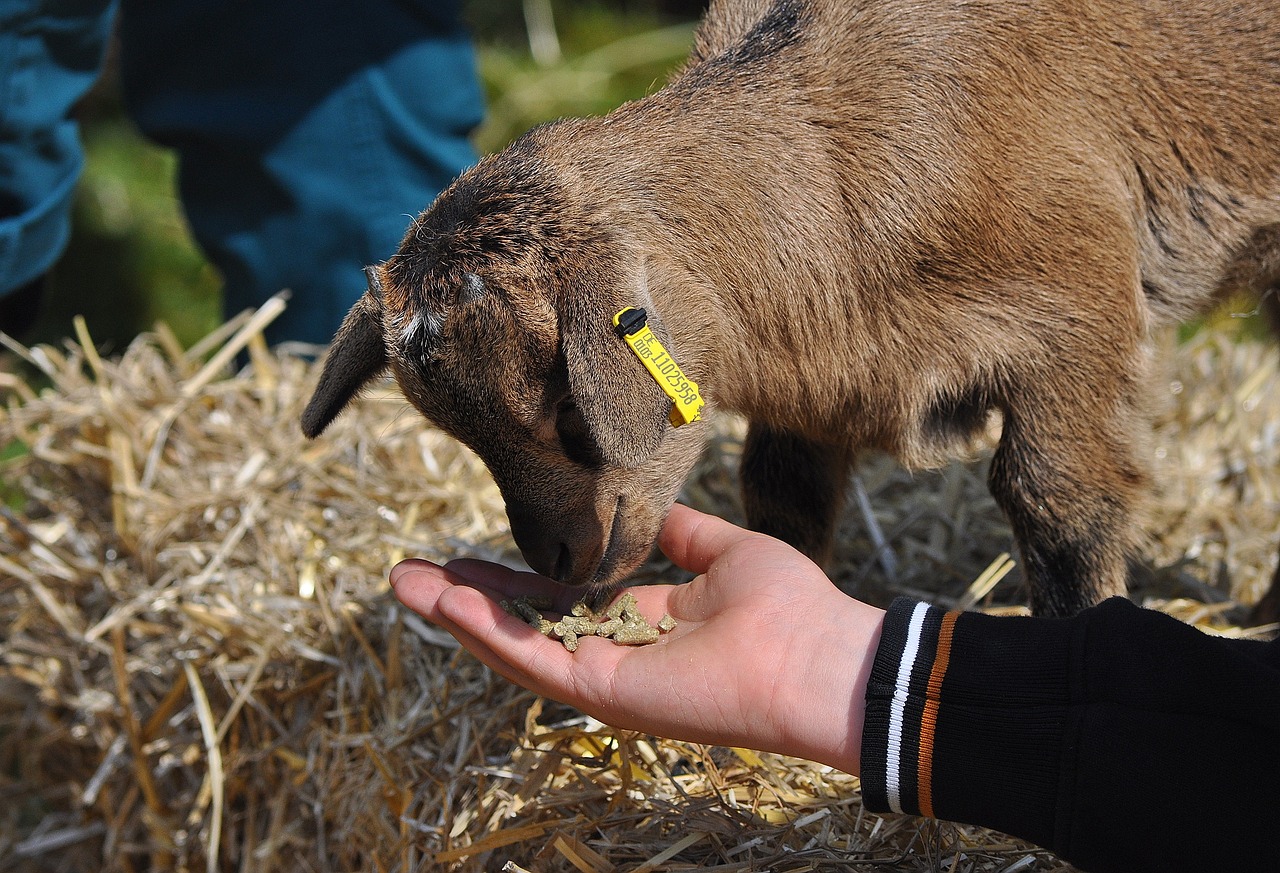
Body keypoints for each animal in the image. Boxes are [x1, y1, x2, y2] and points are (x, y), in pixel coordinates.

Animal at [301, 0, 1280, 619]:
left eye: (571, 411)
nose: (560, 563)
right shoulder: (814, 382)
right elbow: (783, 499)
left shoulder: (1080, 316)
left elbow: (1060, 505)